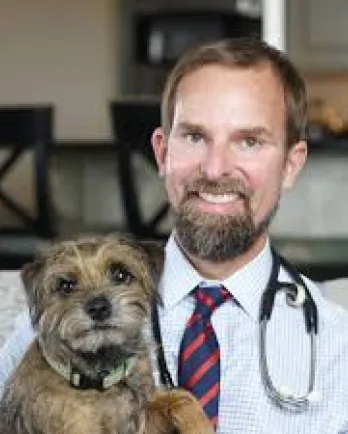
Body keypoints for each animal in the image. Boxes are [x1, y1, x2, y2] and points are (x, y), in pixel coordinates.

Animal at [0, 236, 213, 432]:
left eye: (120, 274)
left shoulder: (146, 408)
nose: (98, 308)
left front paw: (200, 425)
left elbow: (180, 396)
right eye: (66, 285)